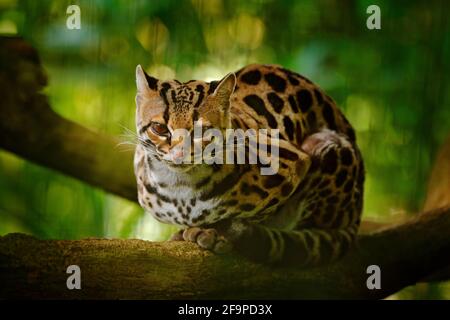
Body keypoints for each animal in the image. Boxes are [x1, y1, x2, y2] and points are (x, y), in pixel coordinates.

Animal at [134, 63, 366, 266]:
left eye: (202, 130)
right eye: (159, 128)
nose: (180, 154)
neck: (179, 186)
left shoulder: (292, 160)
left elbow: (251, 215)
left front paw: (217, 230)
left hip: (328, 145)